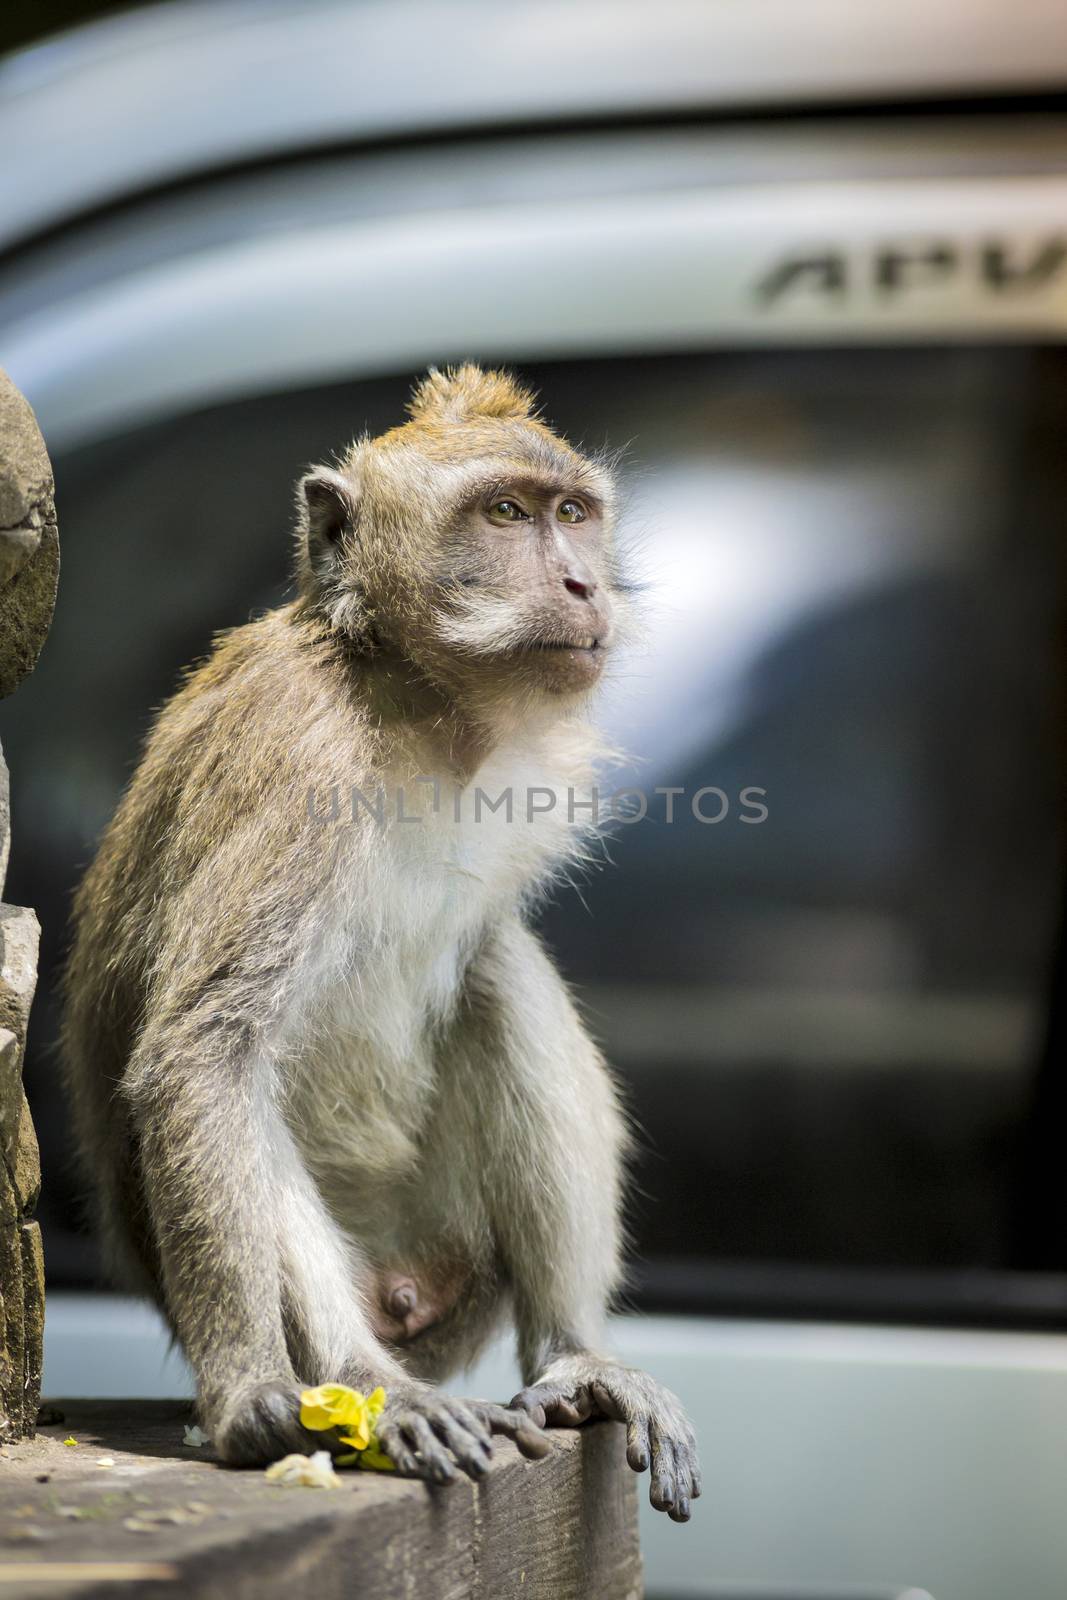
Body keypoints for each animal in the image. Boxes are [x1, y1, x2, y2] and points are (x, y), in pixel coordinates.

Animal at [62, 366, 703, 1523]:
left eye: (572, 513)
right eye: (505, 514)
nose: (584, 584)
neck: (409, 699)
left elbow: (483, 950)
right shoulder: (296, 758)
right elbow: (201, 1054)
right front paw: (247, 1394)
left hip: (451, 1254)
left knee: (495, 966)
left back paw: (572, 1359)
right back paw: (370, 1383)